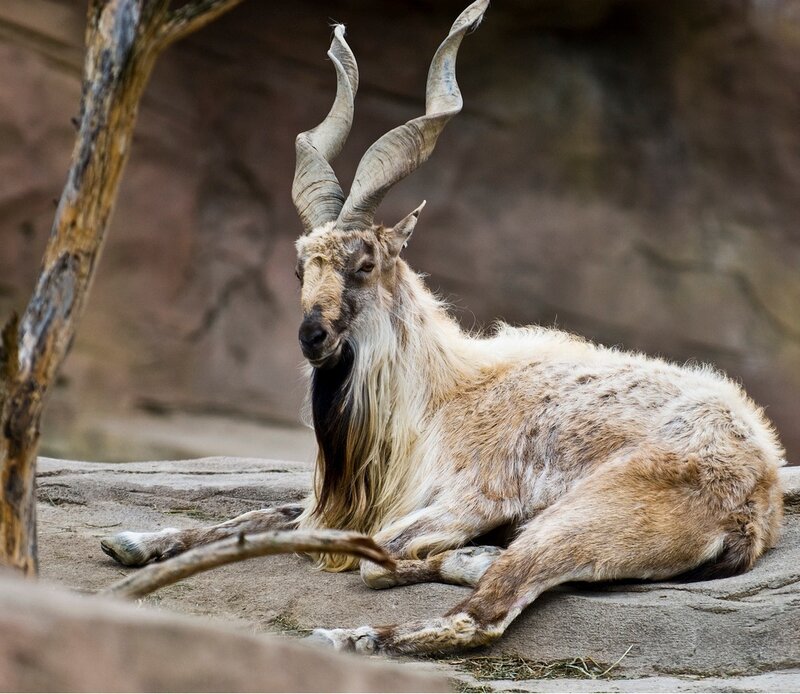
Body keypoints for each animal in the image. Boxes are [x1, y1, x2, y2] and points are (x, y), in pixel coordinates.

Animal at [102, 0, 786, 656]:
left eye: (364, 262)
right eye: (300, 265)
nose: (312, 337)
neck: (436, 396)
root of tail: (757, 493)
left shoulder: (464, 500)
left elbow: (370, 553)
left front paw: (464, 555)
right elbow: (265, 517)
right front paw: (136, 540)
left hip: (594, 512)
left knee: (480, 612)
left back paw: (356, 635)